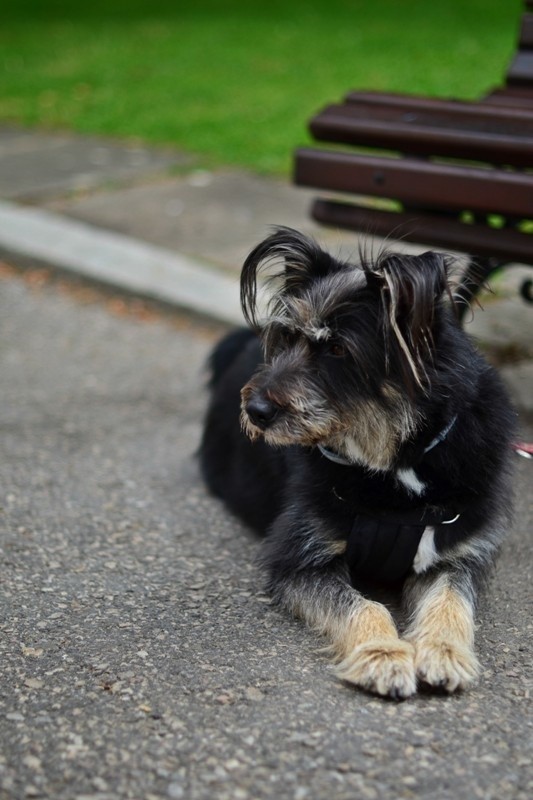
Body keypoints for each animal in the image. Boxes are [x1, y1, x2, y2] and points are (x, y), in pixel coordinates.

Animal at [198, 228, 512, 696]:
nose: (254, 411)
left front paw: (444, 651)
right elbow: (364, 606)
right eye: (287, 337)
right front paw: (383, 654)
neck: (396, 466)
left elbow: (451, 599)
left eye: (338, 348)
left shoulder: (457, 553)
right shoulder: (297, 559)